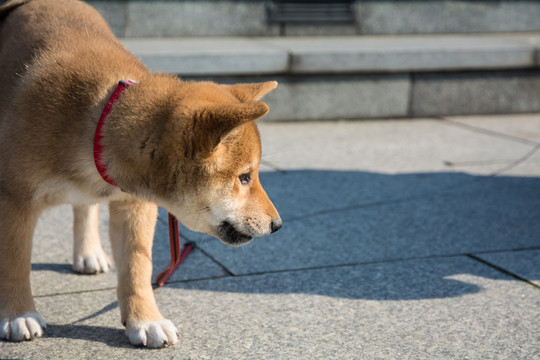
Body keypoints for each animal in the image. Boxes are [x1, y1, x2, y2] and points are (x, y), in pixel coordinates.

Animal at [1, 0, 282, 348]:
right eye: (244, 177)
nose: (278, 225)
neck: (99, 125)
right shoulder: (14, 198)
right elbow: (14, 262)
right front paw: (17, 314)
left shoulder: (134, 205)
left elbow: (137, 268)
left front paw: (145, 321)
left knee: (85, 207)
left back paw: (89, 252)